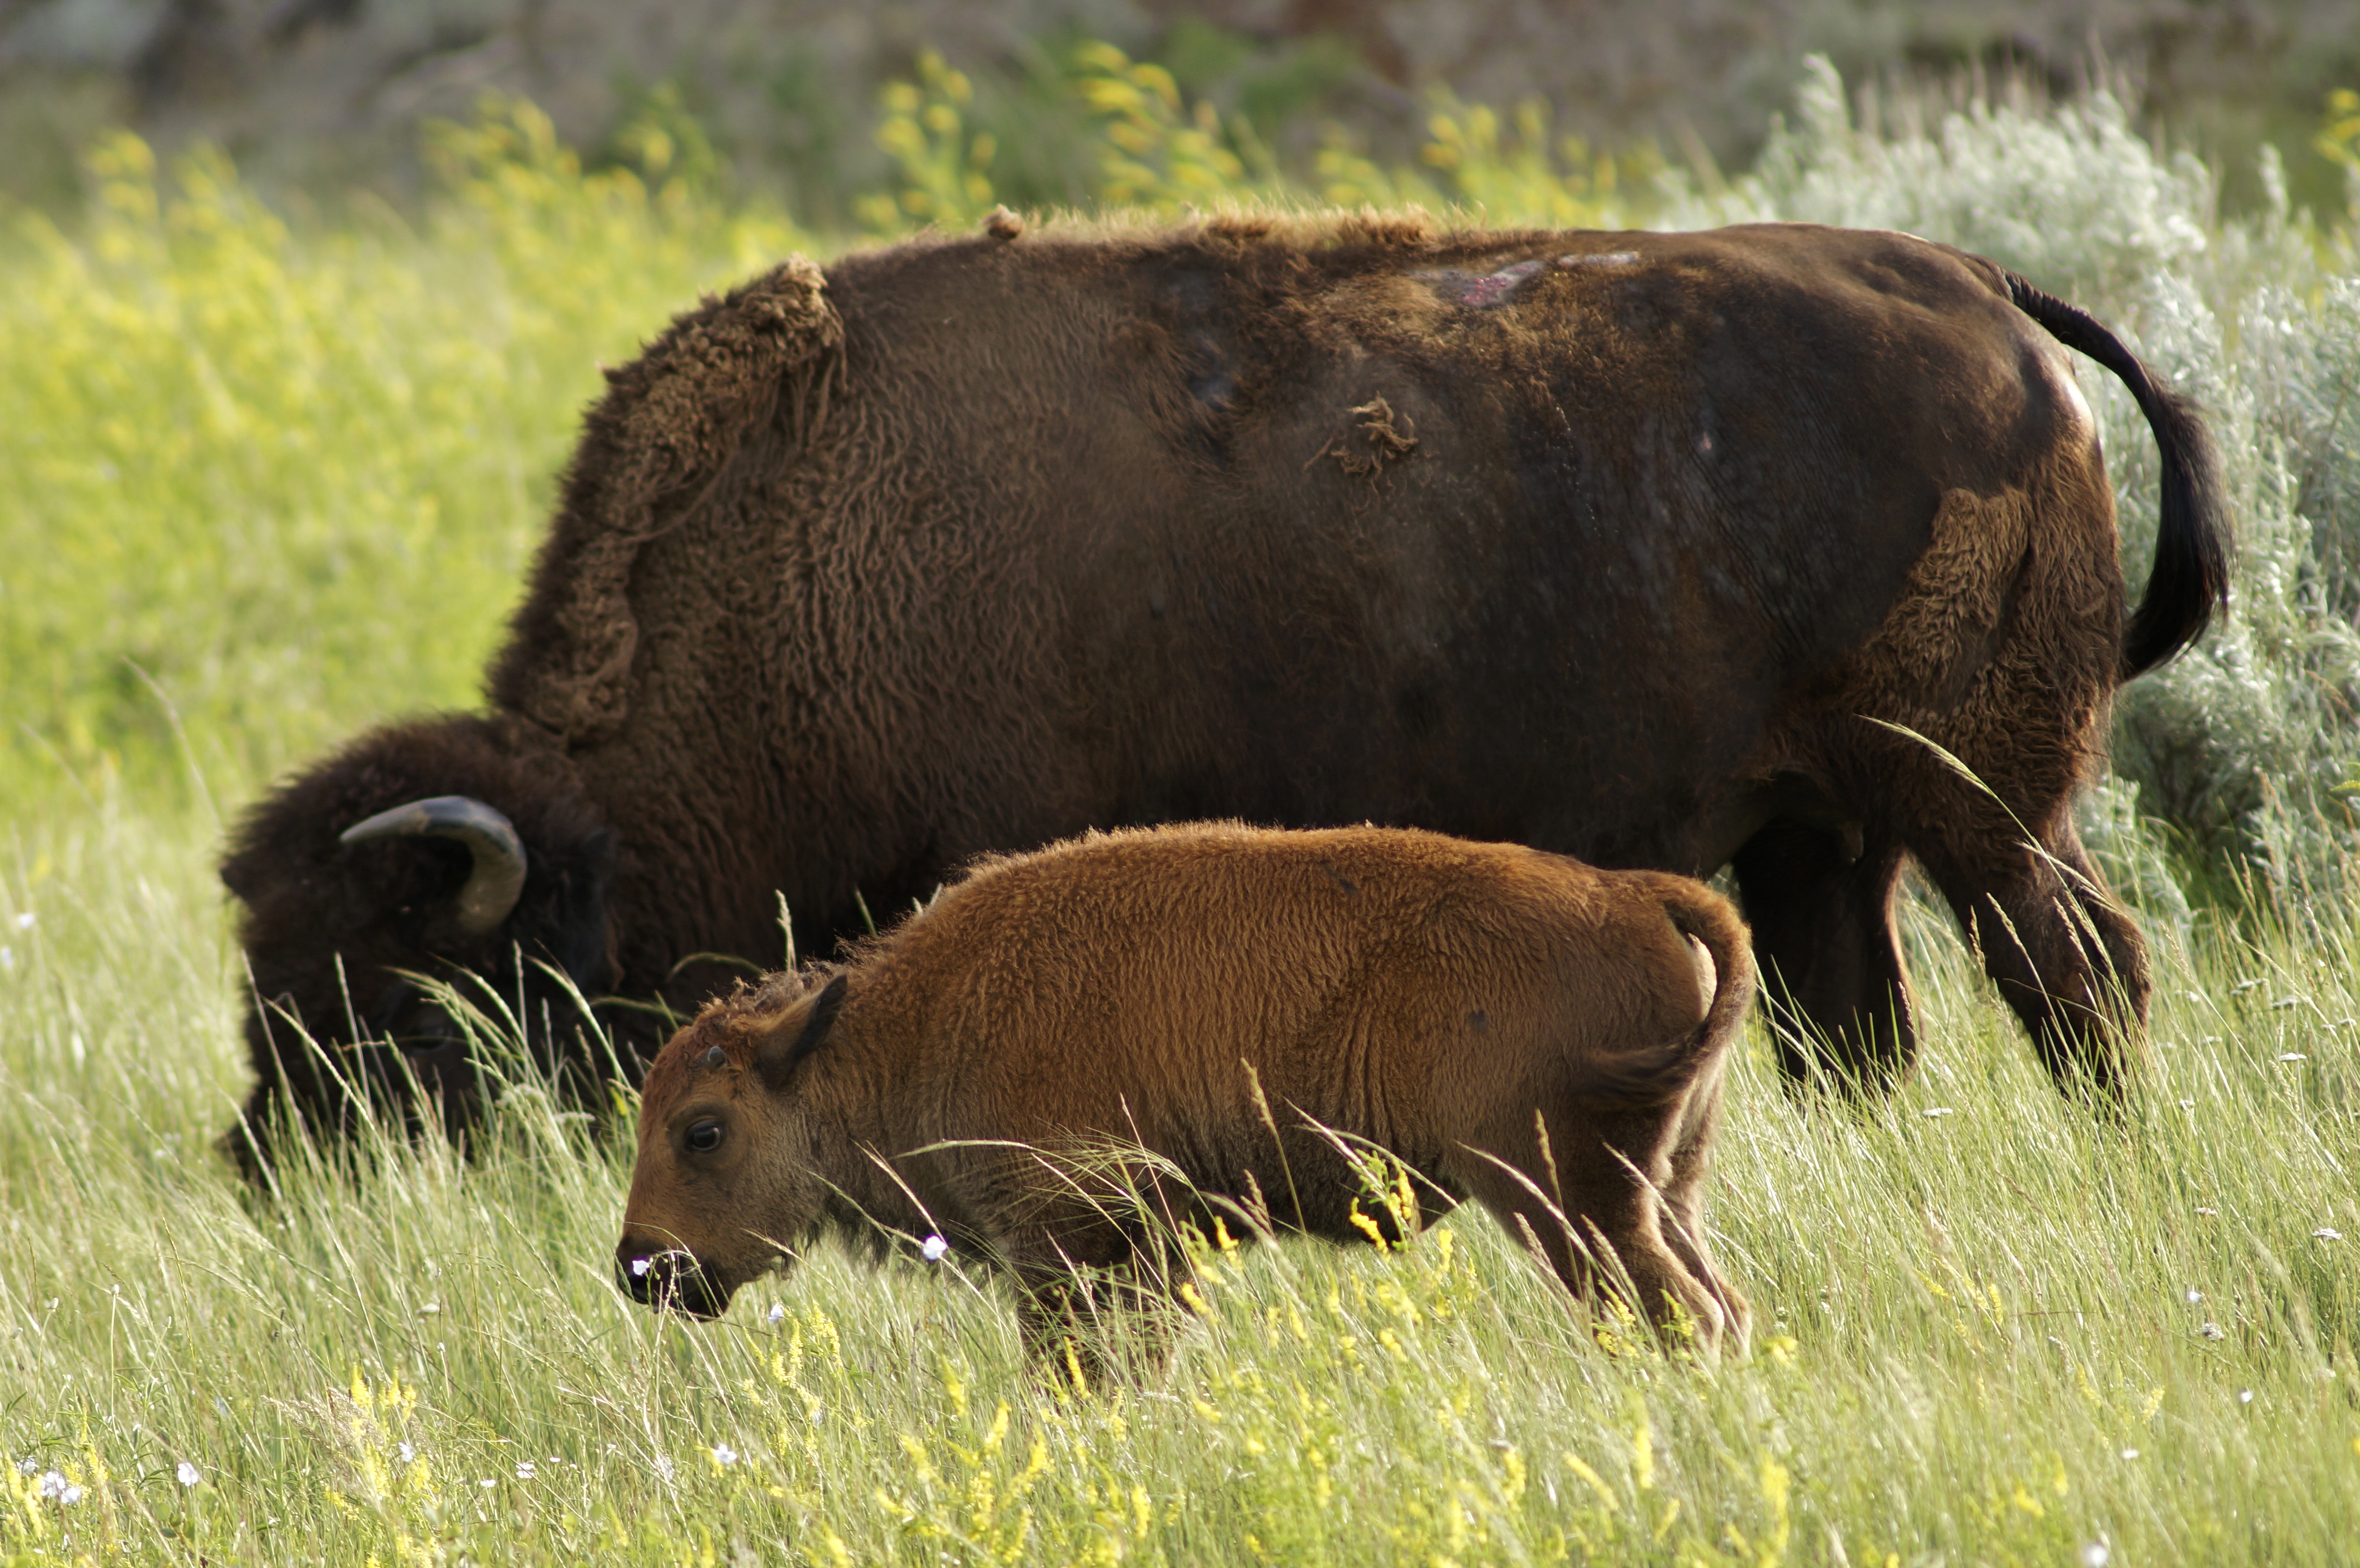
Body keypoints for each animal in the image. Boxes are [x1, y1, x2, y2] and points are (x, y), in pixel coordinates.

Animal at [218, 212, 2228, 1174]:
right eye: (266, 968)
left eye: (406, 996)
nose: (275, 1167)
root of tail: (1990, 298)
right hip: (1818, 836)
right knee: (1861, 1020)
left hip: (1979, 805)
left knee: (2082, 972)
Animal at [614, 823, 1757, 1356]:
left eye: (702, 1131)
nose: (641, 1269)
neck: (919, 1023)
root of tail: (1631, 892)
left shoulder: (1078, 1248)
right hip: (1663, 1183)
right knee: (1721, 1303)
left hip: (1558, 1195)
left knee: (1676, 1313)